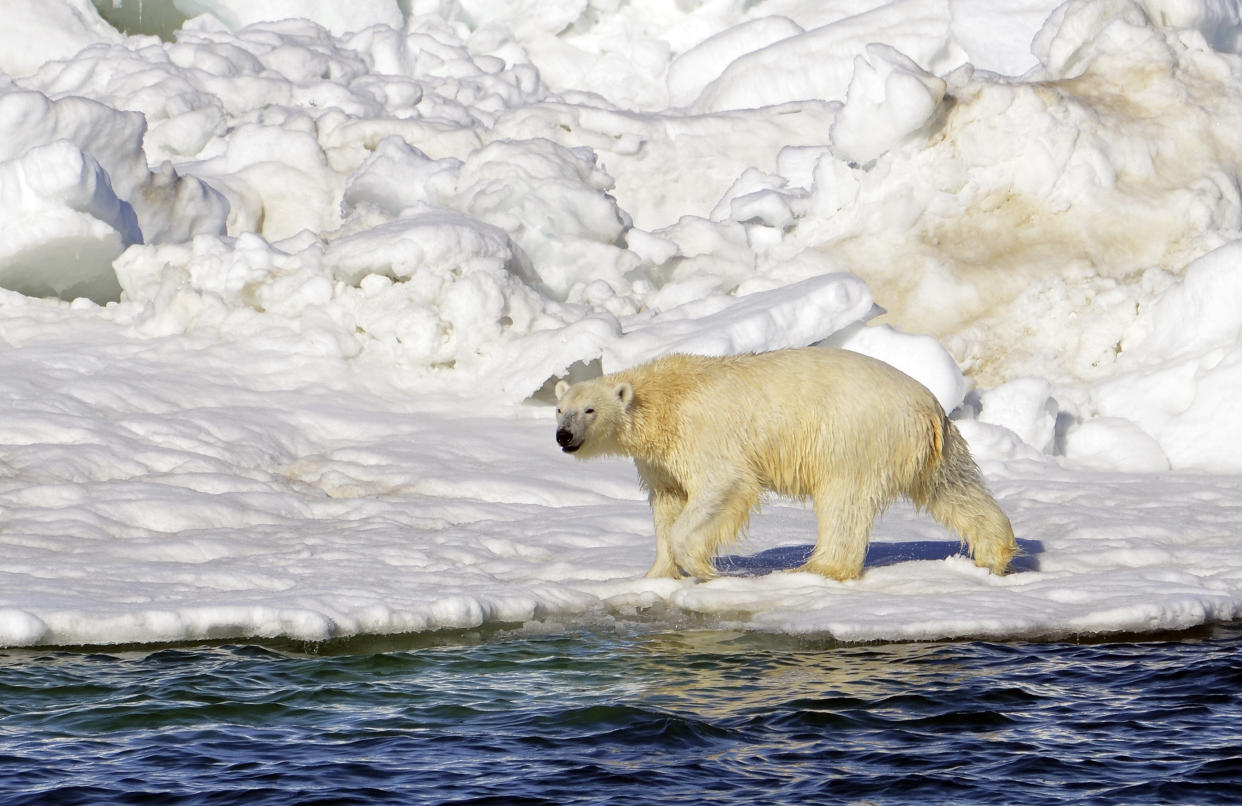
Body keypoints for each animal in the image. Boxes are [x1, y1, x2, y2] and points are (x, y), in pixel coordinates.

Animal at [558, 345, 1013, 578]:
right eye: (561, 409)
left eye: (590, 410)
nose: (563, 436)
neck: (665, 398)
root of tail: (927, 406)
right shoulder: (661, 460)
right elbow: (667, 502)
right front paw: (656, 575)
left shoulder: (704, 434)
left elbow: (723, 485)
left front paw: (703, 569)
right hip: (933, 447)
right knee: (954, 488)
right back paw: (996, 553)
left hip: (854, 436)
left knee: (844, 501)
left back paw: (818, 568)